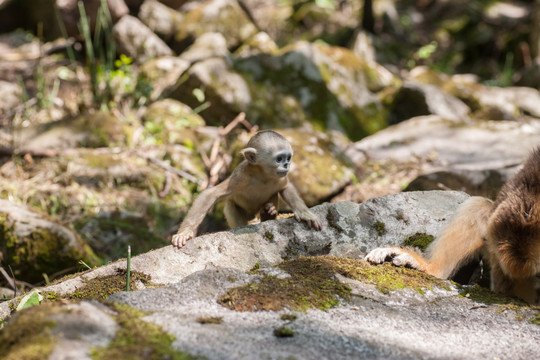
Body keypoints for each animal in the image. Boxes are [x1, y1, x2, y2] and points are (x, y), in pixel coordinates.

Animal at [173, 131, 322, 249]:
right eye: (279, 159)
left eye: (288, 158)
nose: (286, 165)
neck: (262, 176)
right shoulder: (240, 177)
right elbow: (210, 194)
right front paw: (184, 233)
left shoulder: (280, 178)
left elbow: (286, 188)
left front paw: (305, 214)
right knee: (230, 206)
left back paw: (268, 212)